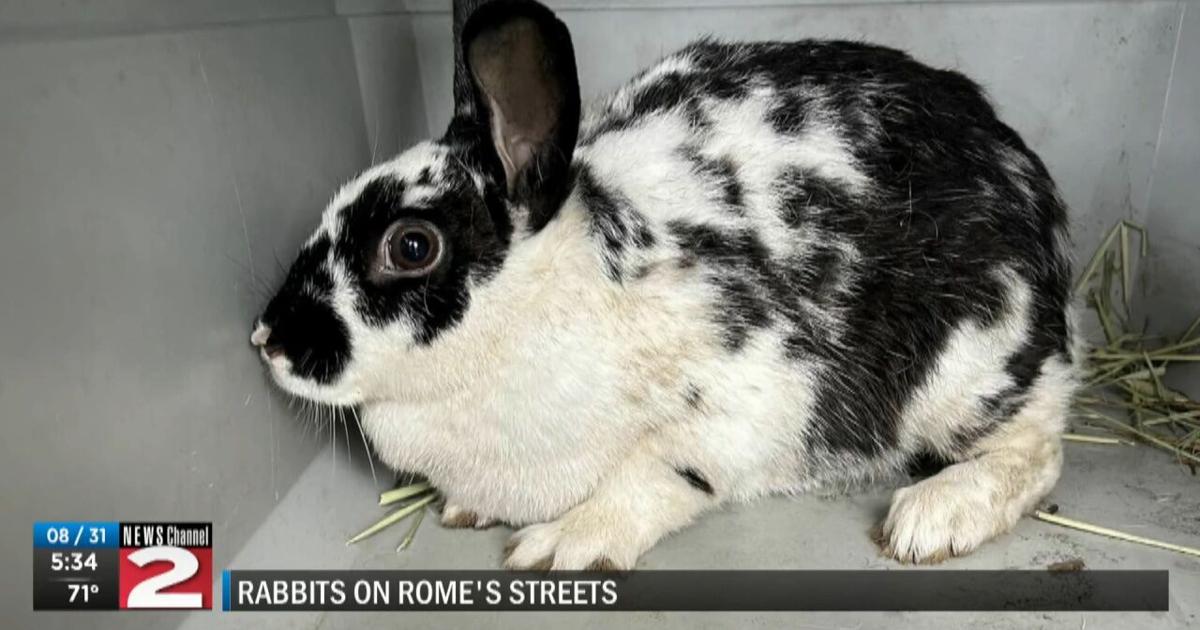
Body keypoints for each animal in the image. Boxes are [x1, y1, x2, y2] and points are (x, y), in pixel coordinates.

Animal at [251, 0, 1078, 570]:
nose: (267, 340)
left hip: (970, 369)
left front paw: (559, 546)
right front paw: (465, 512)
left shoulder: (737, 407)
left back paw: (931, 519)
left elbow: (652, 481)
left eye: (412, 246)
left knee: (1037, 448)